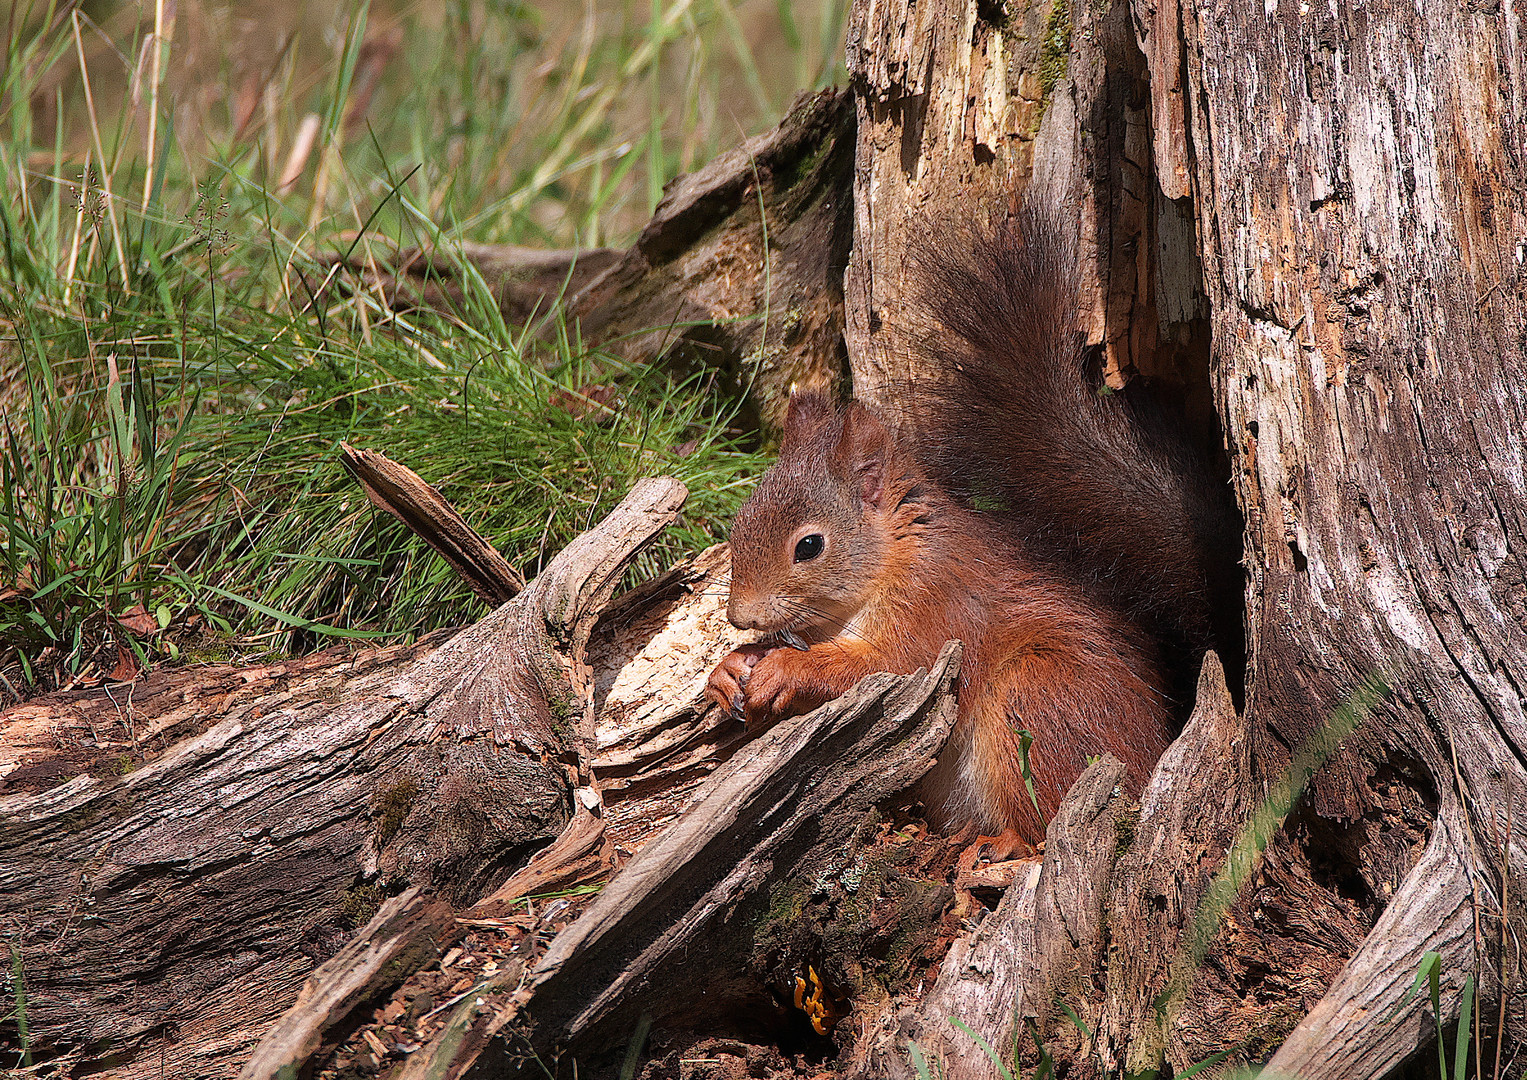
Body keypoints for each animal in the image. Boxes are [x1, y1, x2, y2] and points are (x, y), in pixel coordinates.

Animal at [705, 209, 1239, 843]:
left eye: (809, 546)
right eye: (740, 521)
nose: (740, 615)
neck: (890, 563)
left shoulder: (939, 609)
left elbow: (886, 667)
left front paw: (788, 665)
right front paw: (731, 668)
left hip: (1038, 696)